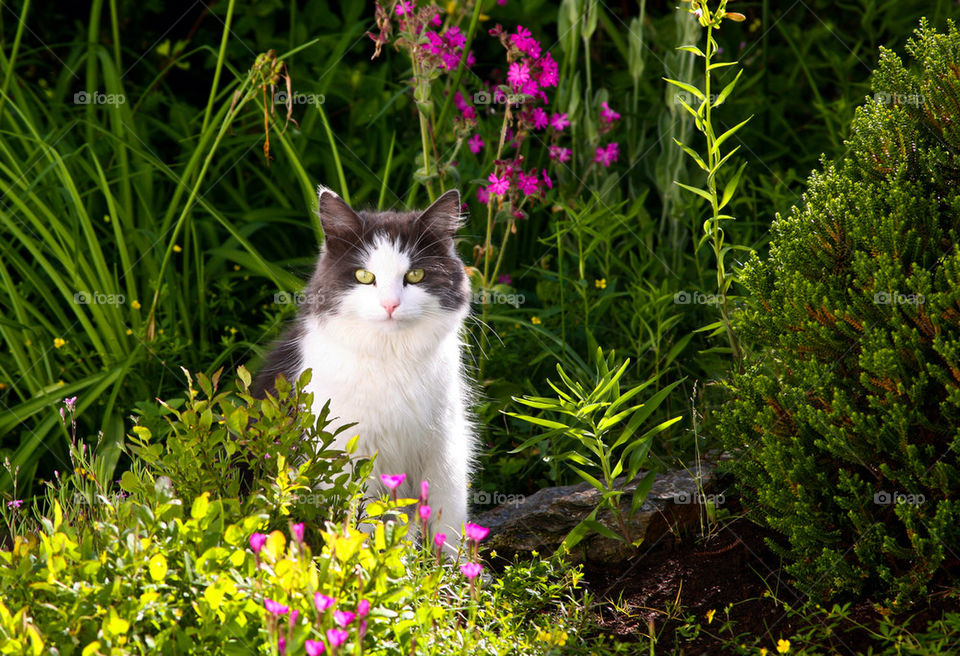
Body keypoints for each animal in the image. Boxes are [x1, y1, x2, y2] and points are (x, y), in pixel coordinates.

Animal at [251, 186, 476, 544]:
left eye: (415, 275)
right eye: (364, 276)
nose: (390, 304)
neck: (393, 358)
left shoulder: (445, 450)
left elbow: (449, 530)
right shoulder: (349, 459)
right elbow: (363, 531)